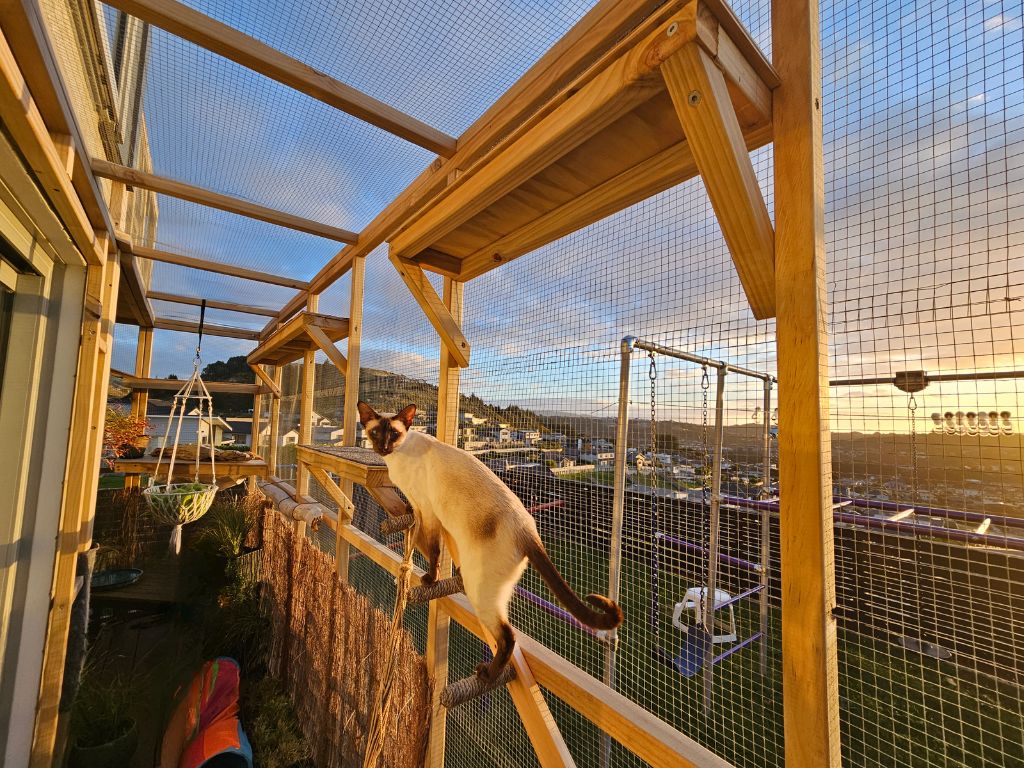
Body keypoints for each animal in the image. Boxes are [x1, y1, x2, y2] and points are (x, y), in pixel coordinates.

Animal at [356, 403, 618, 684]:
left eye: (393, 434)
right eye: (376, 433)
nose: (383, 447)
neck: (397, 456)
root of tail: (528, 530)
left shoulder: (427, 510)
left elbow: (434, 551)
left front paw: (430, 580)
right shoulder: (426, 512)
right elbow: (431, 542)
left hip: (481, 592)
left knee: (508, 637)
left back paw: (488, 675)